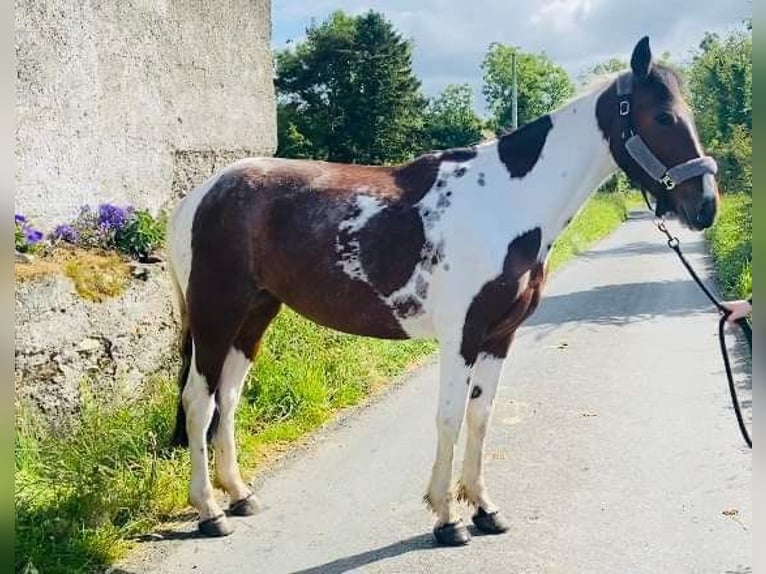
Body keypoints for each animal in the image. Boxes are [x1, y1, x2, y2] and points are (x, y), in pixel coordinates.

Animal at [166, 38, 720, 548]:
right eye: (664, 117)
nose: (706, 206)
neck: (507, 202)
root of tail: (200, 195)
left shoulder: (500, 336)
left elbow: (480, 417)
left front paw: (485, 509)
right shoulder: (462, 335)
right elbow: (450, 418)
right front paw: (447, 518)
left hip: (255, 314)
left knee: (227, 397)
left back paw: (241, 495)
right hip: (218, 315)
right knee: (199, 400)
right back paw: (209, 512)